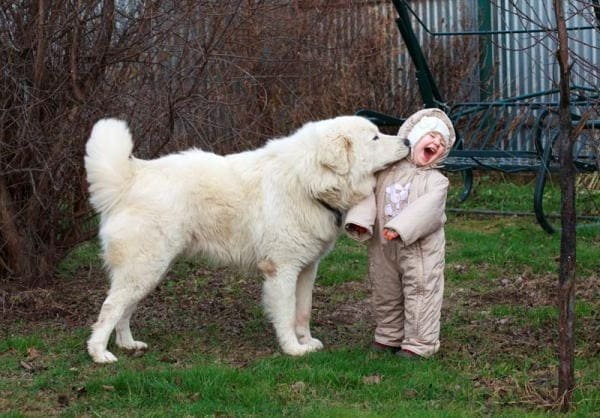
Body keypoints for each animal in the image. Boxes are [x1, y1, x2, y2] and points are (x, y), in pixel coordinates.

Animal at [84, 116, 410, 362]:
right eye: (375, 138)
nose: (406, 142)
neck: (308, 181)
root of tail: (131, 177)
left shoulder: (307, 269)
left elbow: (303, 311)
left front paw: (307, 342)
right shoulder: (282, 270)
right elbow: (286, 313)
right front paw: (293, 349)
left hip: (148, 272)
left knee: (124, 309)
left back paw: (128, 343)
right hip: (145, 268)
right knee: (110, 308)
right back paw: (99, 354)